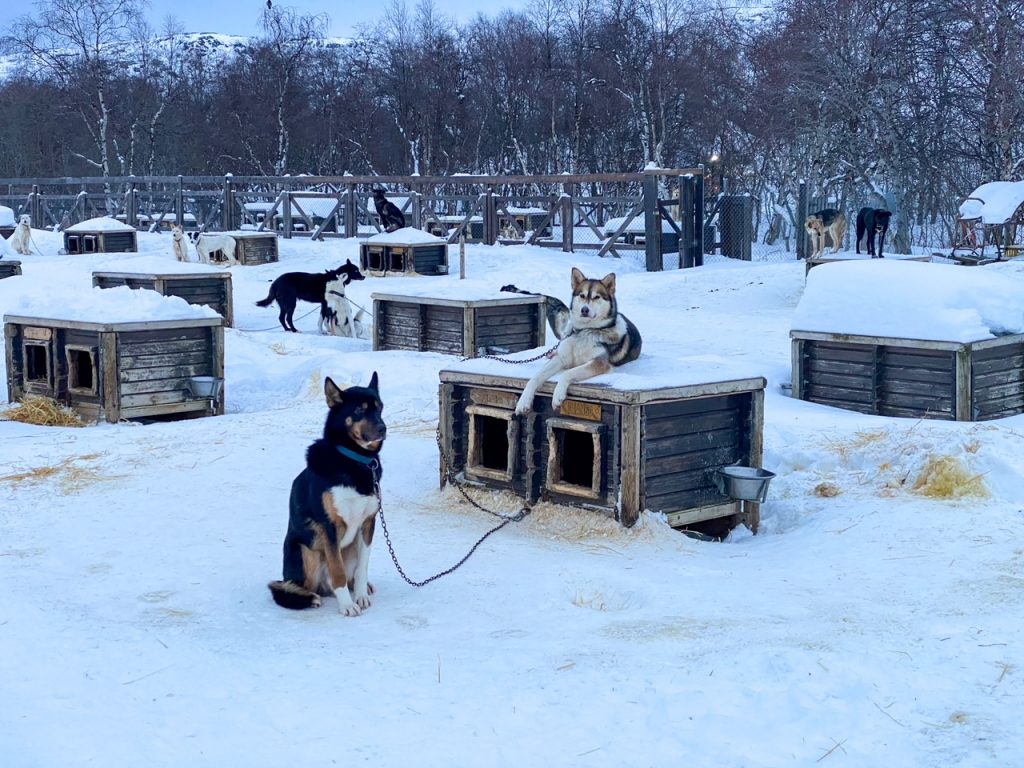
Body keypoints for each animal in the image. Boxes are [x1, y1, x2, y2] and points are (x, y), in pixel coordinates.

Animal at [268, 372, 387, 614]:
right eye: (359, 410)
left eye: (379, 408)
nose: (383, 428)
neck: (354, 460)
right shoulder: (329, 526)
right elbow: (337, 571)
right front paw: (347, 606)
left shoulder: (368, 523)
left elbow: (362, 567)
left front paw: (360, 596)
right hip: (307, 552)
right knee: (288, 588)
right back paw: (309, 597)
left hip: (349, 548)